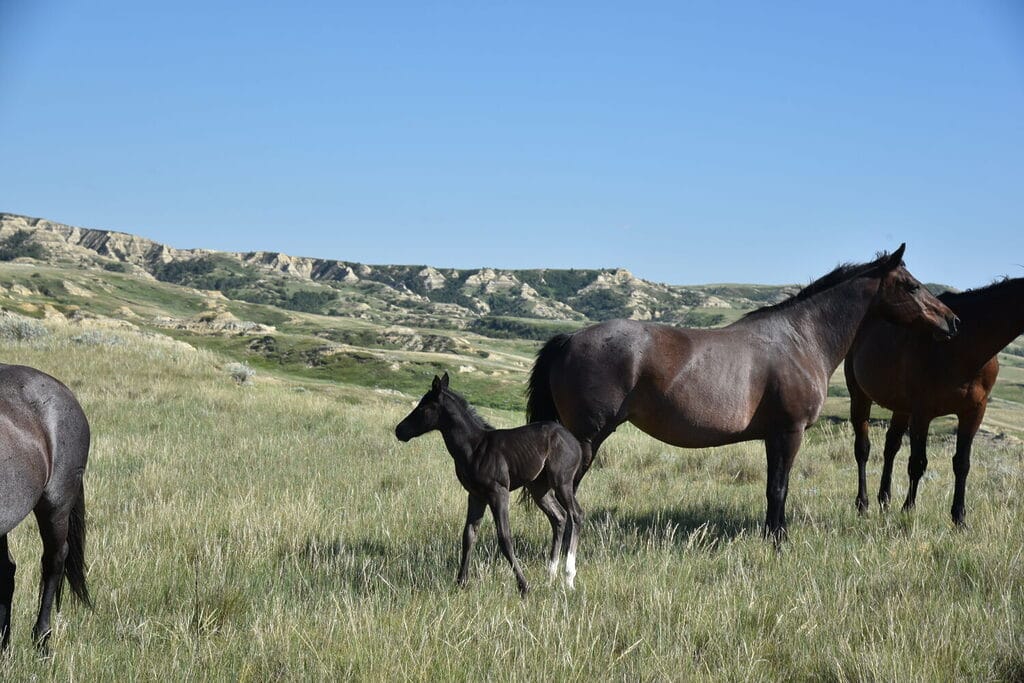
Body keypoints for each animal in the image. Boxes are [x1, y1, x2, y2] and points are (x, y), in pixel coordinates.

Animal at [395, 373, 583, 596]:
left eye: (424, 407)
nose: (399, 430)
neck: (474, 448)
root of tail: (576, 443)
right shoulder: (476, 495)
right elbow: (468, 536)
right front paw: (461, 582)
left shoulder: (498, 492)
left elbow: (504, 538)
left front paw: (524, 586)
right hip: (539, 489)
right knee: (559, 518)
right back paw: (550, 576)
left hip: (562, 482)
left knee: (576, 515)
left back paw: (568, 578)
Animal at [526, 244, 960, 543]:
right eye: (911, 285)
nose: (952, 322)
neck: (802, 338)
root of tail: (568, 341)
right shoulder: (790, 432)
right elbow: (781, 488)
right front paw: (780, 542)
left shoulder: (773, 436)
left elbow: (773, 489)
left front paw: (772, 536)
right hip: (585, 441)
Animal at [845, 276, 1024, 526]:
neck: (963, 346)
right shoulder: (923, 413)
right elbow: (918, 463)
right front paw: (908, 510)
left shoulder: (973, 412)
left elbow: (962, 463)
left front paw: (959, 518)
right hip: (860, 395)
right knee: (862, 449)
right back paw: (863, 504)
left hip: (902, 408)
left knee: (891, 446)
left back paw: (885, 500)